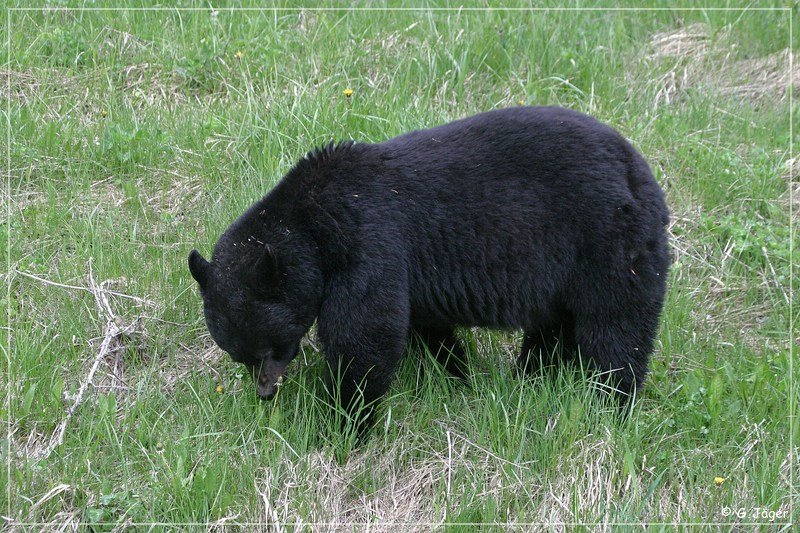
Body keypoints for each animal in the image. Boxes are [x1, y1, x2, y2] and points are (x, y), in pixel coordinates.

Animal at [189, 106, 668, 426]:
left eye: (267, 346)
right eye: (236, 353)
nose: (265, 391)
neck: (313, 226)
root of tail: (642, 171)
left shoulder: (369, 242)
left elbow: (366, 335)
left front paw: (345, 419)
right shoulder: (407, 274)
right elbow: (423, 328)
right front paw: (458, 374)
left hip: (608, 244)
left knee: (616, 329)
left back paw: (611, 401)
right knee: (554, 329)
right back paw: (530, 379)